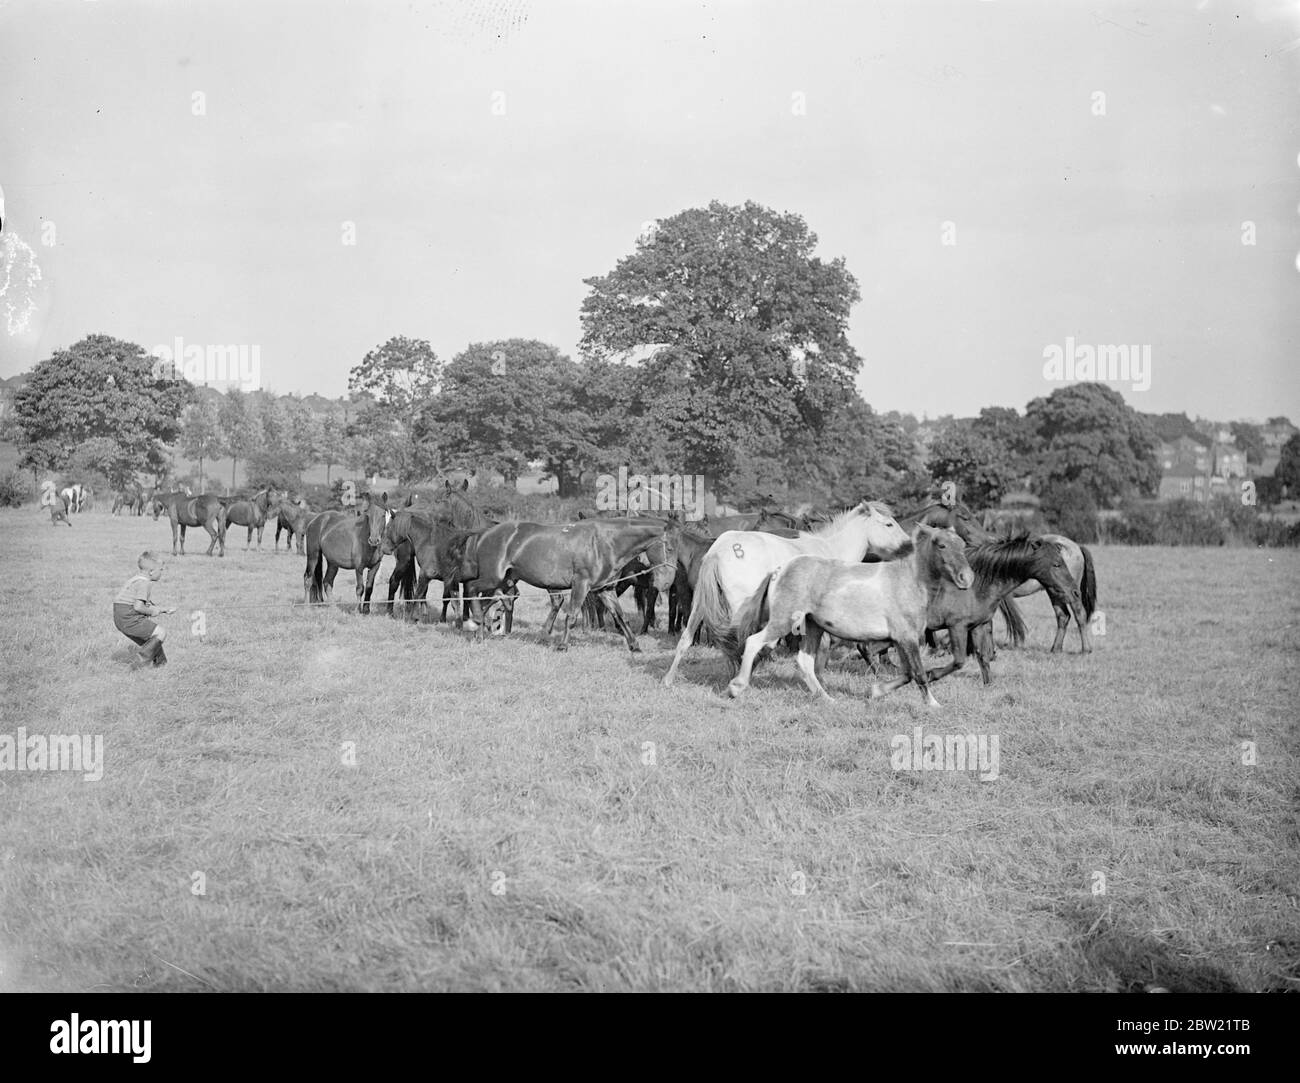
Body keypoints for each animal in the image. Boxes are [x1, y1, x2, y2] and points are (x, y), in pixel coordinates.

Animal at [665, 499, 909, 686]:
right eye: (889, 524)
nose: (909, 544)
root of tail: (718, 550)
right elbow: (824, 644)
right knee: (736, 641)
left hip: (700, 603)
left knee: (687, 638)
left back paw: (669, 679)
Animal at [728, 525, 972, 707]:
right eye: (941, 545)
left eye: (963, 545)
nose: (967, 578)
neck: (908, 581)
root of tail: (780, 570)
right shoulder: (907, 637)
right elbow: (918, 673)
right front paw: (933, 704)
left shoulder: (900, 640)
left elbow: (907, 673)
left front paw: (876, 691)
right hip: (784, 620)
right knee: (754, 642)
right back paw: (736, 687)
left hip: (813, 626)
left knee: (805, 661)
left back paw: (827, 699)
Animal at [857, 533, 1081, 686]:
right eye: (1056, 564)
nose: (1075, 592)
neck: (978, 584)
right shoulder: (957, 627)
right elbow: (959, 661)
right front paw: (931, 675)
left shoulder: (978, 626)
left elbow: (983, 656)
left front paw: (988, 684)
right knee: (866, 647)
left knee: (867, 647)